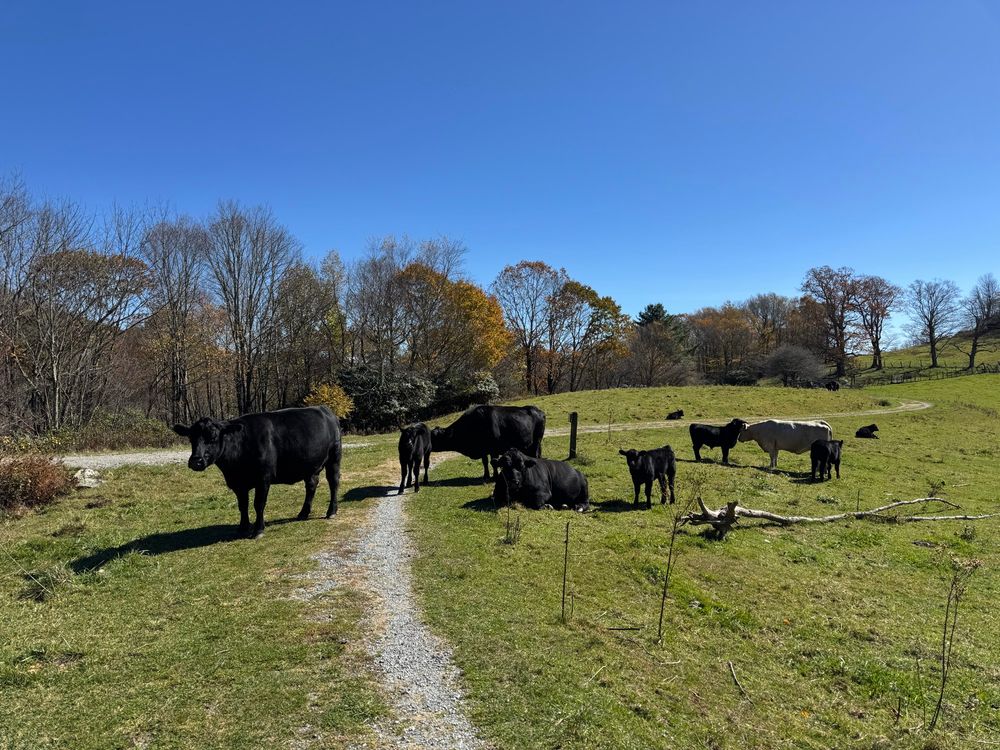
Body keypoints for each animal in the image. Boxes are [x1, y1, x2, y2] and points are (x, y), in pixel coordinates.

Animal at [173, 406, 342, 538]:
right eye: (191, 438)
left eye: (213, 437)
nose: (196, 461)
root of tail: (325, 410)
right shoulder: (238, 483)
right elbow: (243, 505)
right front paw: (243, 527)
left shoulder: (263, 478)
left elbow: (258, 504)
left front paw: (258, 530)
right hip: (310, 465)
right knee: (311, 485)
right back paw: (303, 513)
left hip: (334, 457)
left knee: (333, 483)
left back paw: (331, 511)